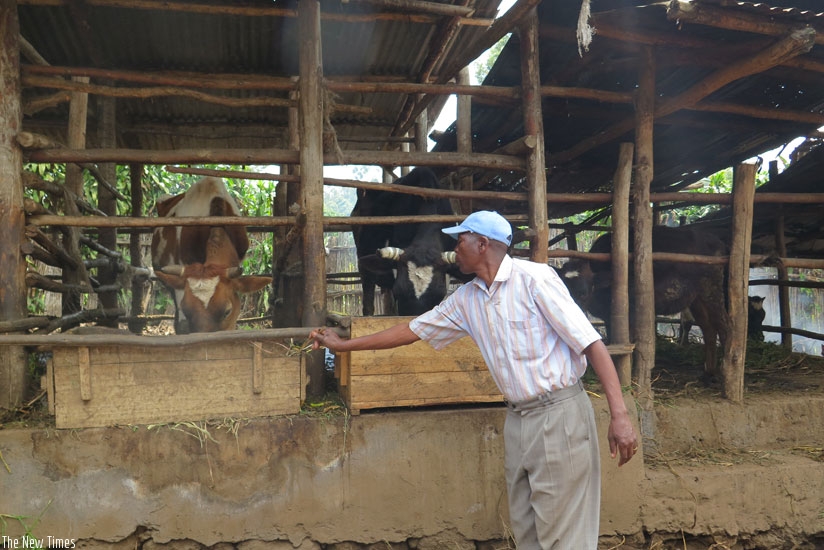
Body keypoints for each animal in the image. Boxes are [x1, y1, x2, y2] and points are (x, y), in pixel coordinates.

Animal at [559, 225, 731, 381]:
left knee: (723, 325)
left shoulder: (630, 313)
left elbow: (629, 342)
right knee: (708, 328)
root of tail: (717, 242)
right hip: (696, 299)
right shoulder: (608, 317)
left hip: (712, 290)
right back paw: (708, 372)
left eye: (583, 293)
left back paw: (725, 372)